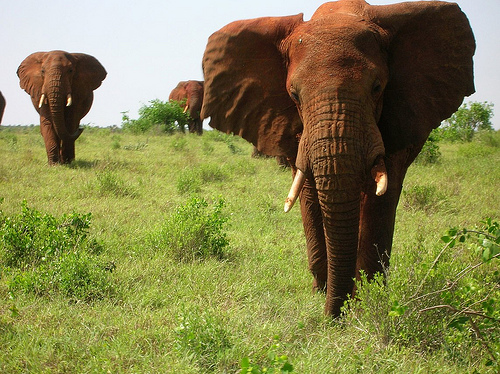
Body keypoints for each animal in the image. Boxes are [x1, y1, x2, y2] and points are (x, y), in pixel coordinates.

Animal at [201, 0, 474, 316]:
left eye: (377, 87)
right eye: (294, 95)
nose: (333, 318)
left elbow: (382, 196)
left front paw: (368, 301)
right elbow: (309, 195)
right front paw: (323, 291)